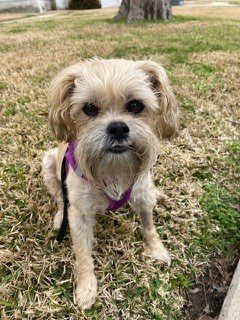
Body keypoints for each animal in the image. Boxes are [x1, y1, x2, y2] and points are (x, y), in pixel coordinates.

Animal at [42, 58, 179, 308]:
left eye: (135, 105)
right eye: (89, 108)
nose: (117, 127)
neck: (113, 171)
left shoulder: (142, 195)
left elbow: (149, 227)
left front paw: (156, 249)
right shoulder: (79, 215)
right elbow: (83, 254)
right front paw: (86, 287)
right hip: (47, 163)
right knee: (58, 197)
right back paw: (58, 216)